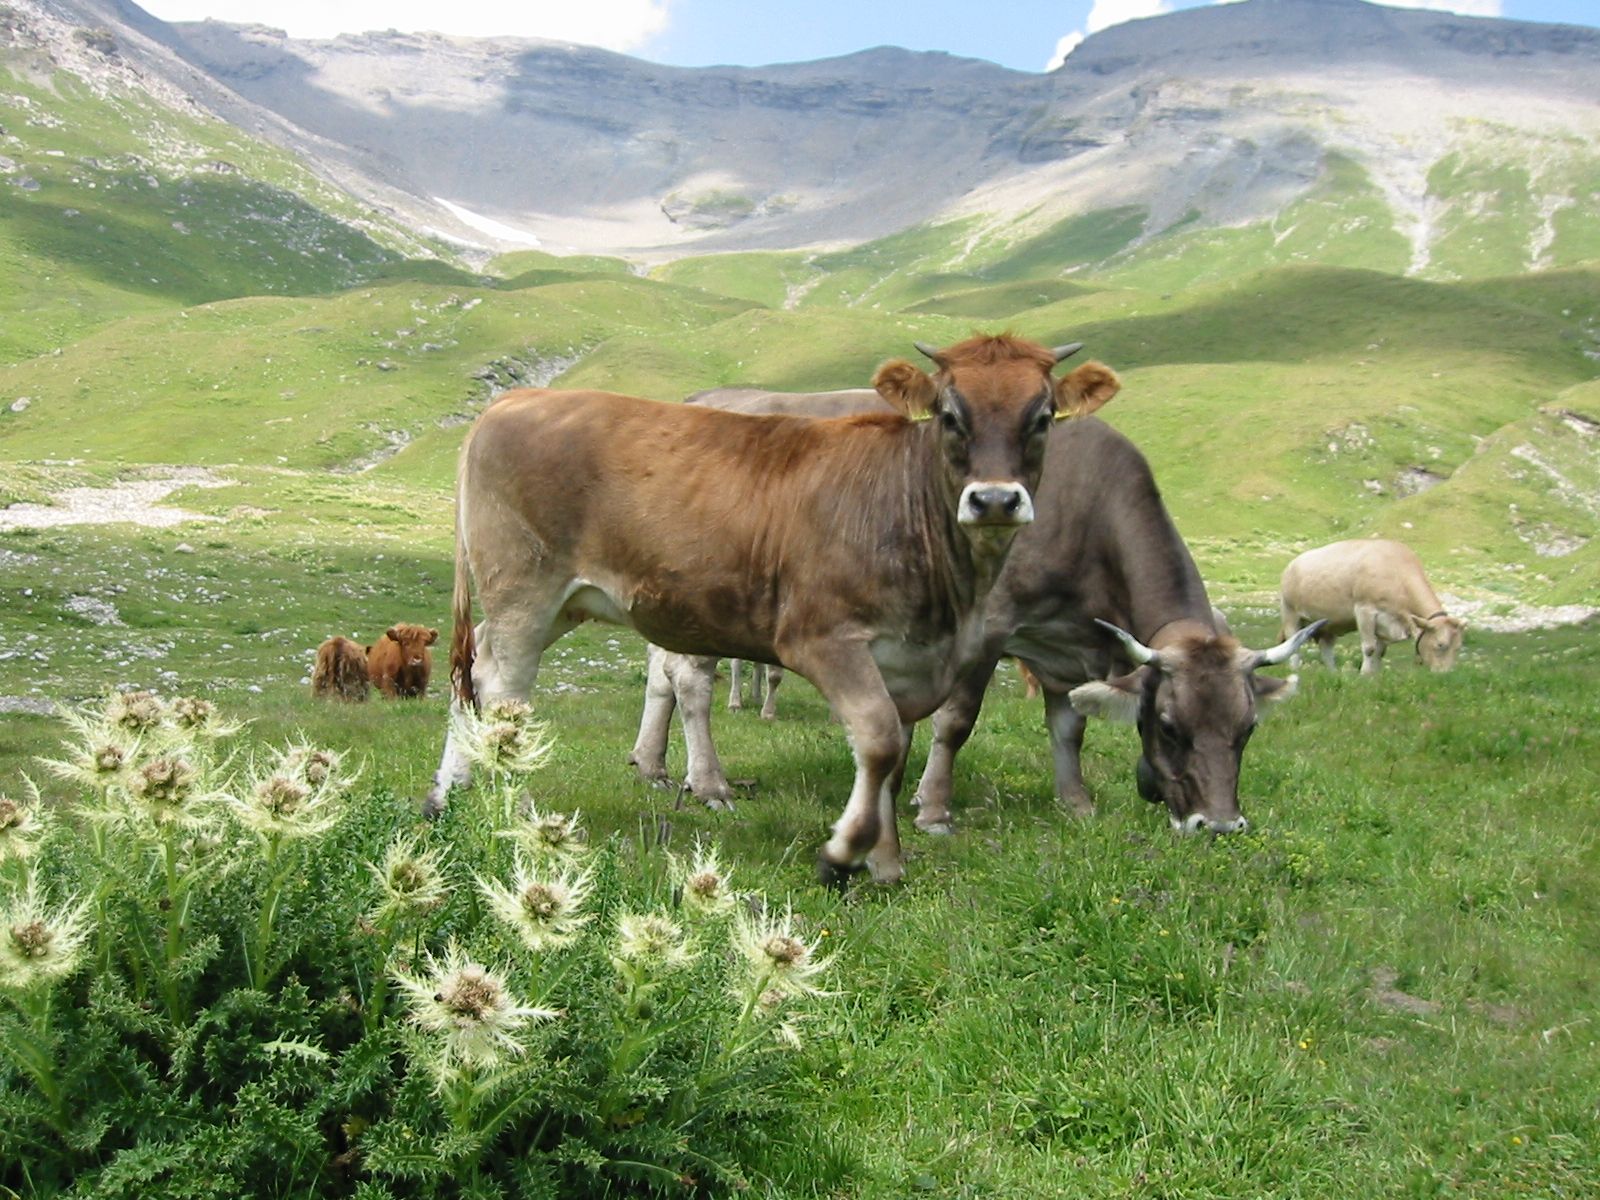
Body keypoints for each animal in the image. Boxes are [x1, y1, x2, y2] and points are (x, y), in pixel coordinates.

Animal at [427, 334, 1122, 885]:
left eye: (1042, 418)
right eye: (951, 415)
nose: (996, 500)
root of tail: (515, 401)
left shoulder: (908, 659)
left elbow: (896, 758)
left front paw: (887, 861)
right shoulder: (822, 638)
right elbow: (876, 740)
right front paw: (844, 852)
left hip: (561, 602)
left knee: (478, 668)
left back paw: (447, 793)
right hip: (526, 587)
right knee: (505, 688)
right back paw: (508, 803)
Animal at [633, 401, 1320, 836]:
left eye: (1247, 729)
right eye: (1171, 727)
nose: (1220, 825)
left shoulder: (1062, 645)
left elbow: (1068, 726)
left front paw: (1076, 804)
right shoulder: (988, 627)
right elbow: (955, 722)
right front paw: (933, 810)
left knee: (661, 677)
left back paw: (654, 766)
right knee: (692, 683)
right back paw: (710, 784)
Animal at [1278, 538, 1464, 675]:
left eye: (1458, 648)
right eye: (1441, 645)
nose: (1444, 674)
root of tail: (1292, 564)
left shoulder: (1385, 622)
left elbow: (1380, 651)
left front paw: (1375, 676)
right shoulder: (1364, 610)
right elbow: (1369, 648)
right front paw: (1364, 675)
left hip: (1328, 624)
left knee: (1326, 647)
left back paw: (1333, 673)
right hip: (1290, 612)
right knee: (1293, 641)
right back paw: (1295, 669)